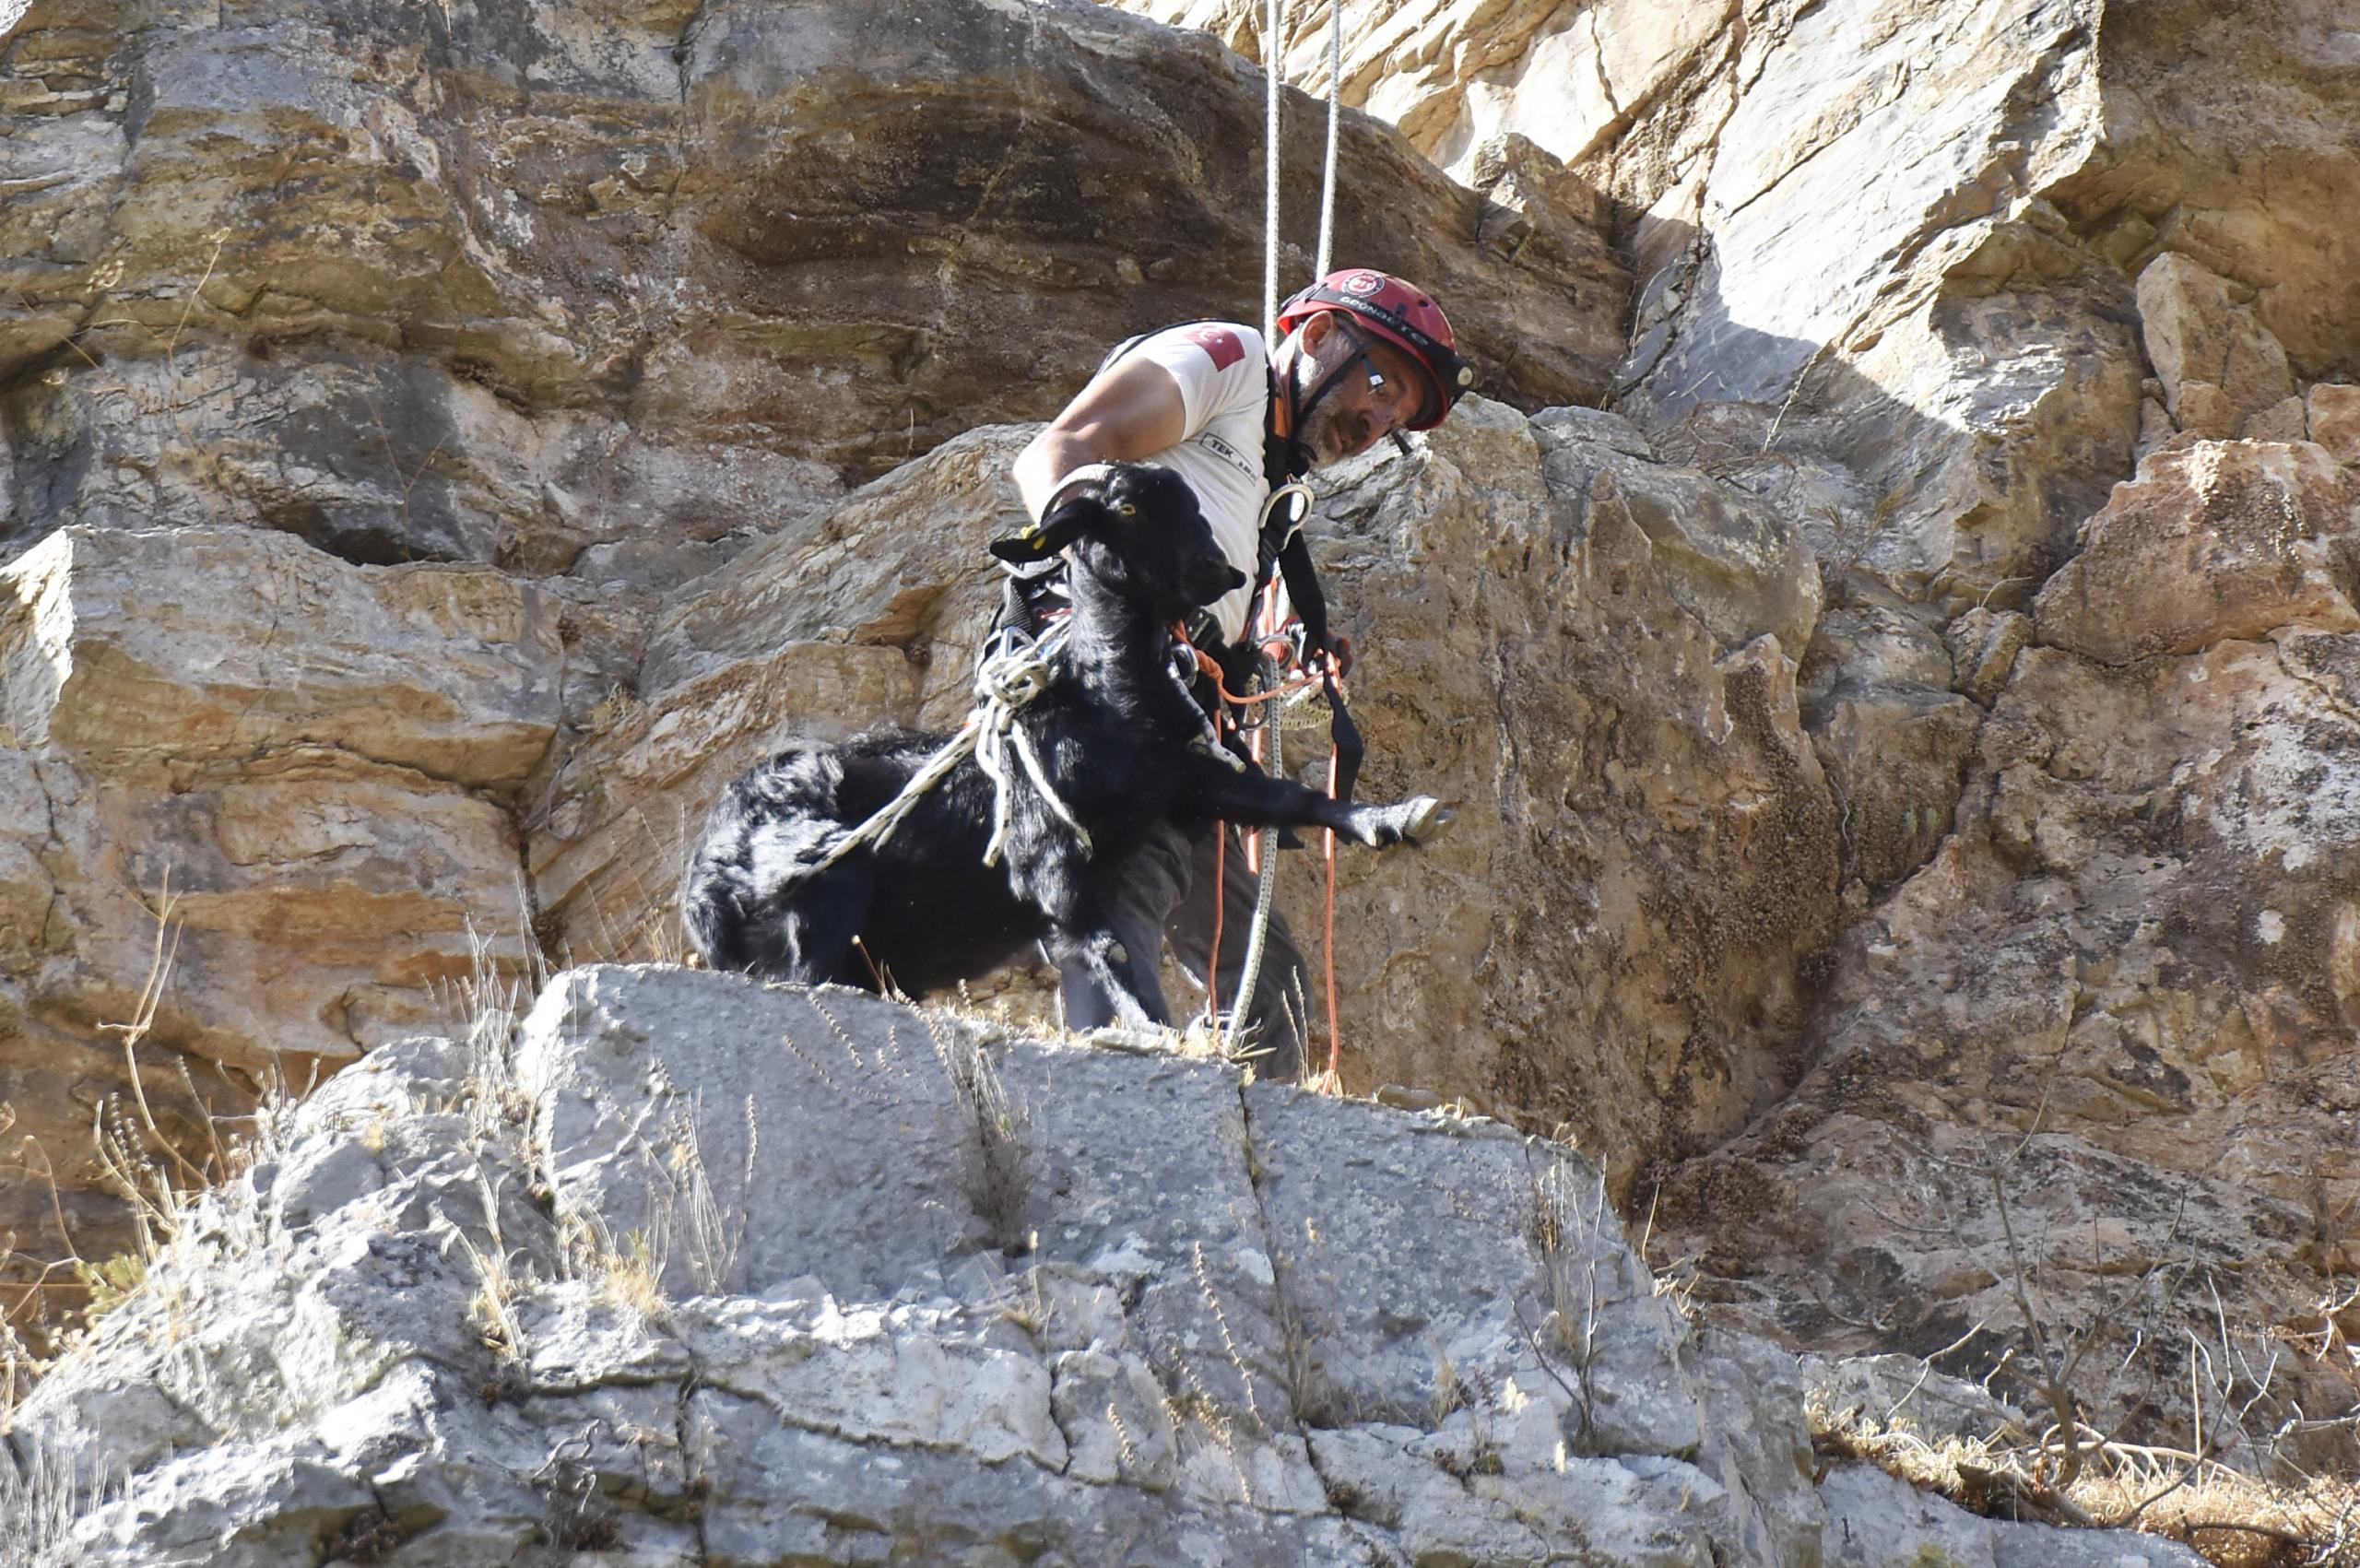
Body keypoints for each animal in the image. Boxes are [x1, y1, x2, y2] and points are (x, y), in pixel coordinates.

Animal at [684, 463, 1444, 1029]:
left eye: (1191, 504)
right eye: (1127, 510)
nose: (1219, 569)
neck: (1104, 699)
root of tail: (702, 882)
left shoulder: (1183, 782)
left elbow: (1290, 797)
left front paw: (1396, 818)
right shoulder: (1047, 852)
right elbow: (1108, 947)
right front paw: (1154, 1032)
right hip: (817, 894)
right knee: (808, 972)